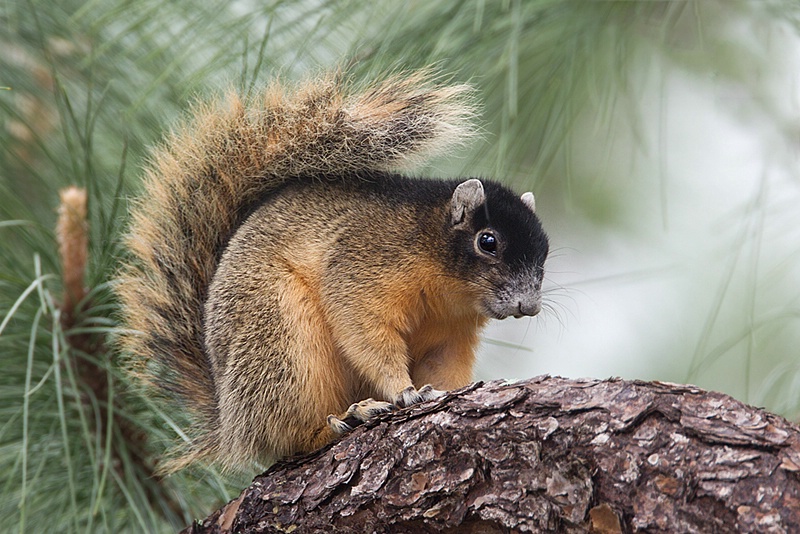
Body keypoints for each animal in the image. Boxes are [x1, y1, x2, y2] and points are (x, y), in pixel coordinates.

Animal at [117, 71, 552, 474]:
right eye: (487, 241)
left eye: (546, 251)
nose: (528, 306)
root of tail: (229, 422)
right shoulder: (363, 268)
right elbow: (365, 332)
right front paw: (404, 391)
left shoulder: (452, 335)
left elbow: (445, 368)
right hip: (279, 339)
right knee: (286, 435)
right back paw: (345, 418)